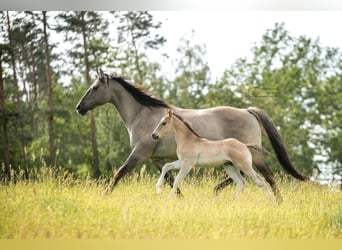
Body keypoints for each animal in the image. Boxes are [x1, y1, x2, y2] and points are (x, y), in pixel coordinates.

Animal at [76, 69, 306, 202]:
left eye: (94, 88)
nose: (79, 108)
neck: (142, 114)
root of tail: (247, 111)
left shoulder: (139, 154)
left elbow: (119, 173)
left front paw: (104, 196)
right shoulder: (157, 159)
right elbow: (171, 179)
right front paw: (178, 199)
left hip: (253, 156)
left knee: (267, 176)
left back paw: (278, 202)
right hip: (234, 159)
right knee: (240, 177)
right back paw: (216, 191)